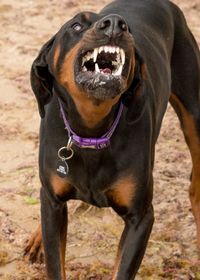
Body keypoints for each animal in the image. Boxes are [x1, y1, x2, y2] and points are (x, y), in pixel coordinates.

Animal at [24, 0, 200, 278]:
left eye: (127, 29)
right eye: (76, 25)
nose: (116, 24)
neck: (91, 132)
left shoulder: (141, 218)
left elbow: (122, 269)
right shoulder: (53, 201)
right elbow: (55, 259)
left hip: (194, 114)